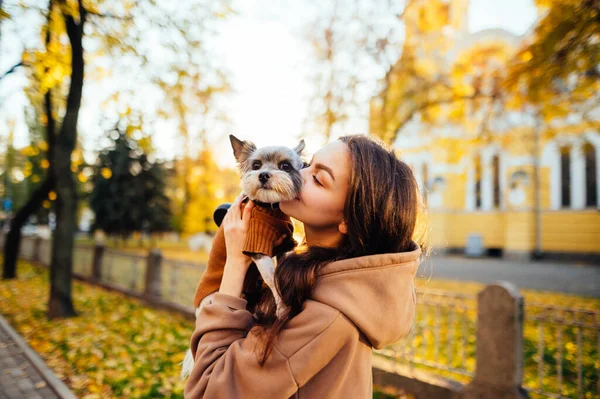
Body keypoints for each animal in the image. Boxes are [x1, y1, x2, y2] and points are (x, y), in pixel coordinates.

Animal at [180, 135, 304, 382]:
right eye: (255, 165)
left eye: (285, 166)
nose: (263, 175)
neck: (271, 208)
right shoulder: (257, 249)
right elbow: (273, 279)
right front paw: (283, 307)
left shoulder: (284, 246)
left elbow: (281, 270)